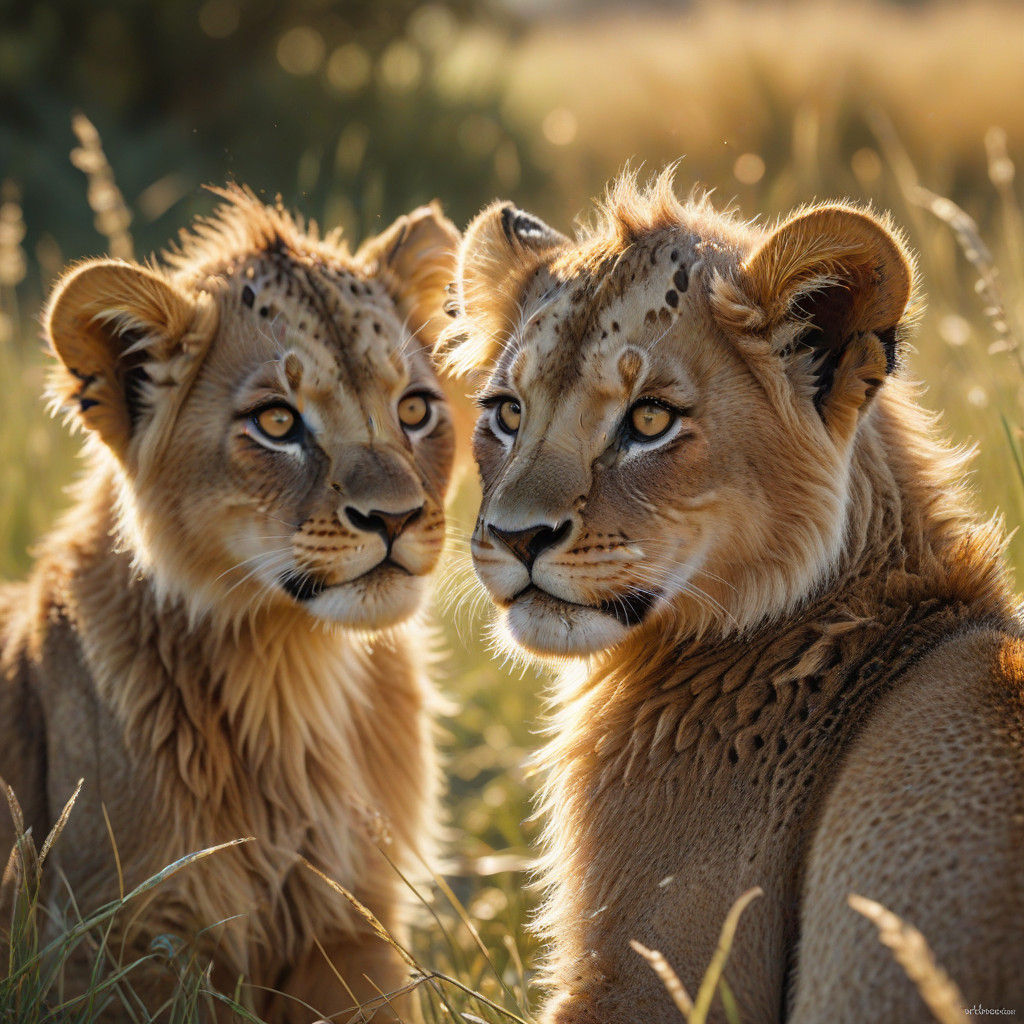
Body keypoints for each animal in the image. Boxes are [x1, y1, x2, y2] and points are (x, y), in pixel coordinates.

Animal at [0, 187, 460, 1021]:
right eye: (277, 422)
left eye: (415, 410)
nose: (397, 517)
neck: (292, 671)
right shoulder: (123, 944)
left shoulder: (355, 925)